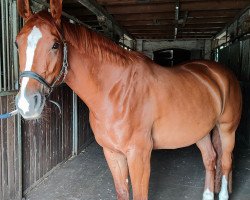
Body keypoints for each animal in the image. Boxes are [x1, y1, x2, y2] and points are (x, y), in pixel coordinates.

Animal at [15, 0, 242, 199]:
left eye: (55, 45)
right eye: (17, 43)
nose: (27, 104)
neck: (117, 91)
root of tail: (218, 72)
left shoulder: (139, 155)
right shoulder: (112, 153)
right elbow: (122, 192)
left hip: (227, 129)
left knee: (226, 162)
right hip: (200, 131)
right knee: (210, 159)